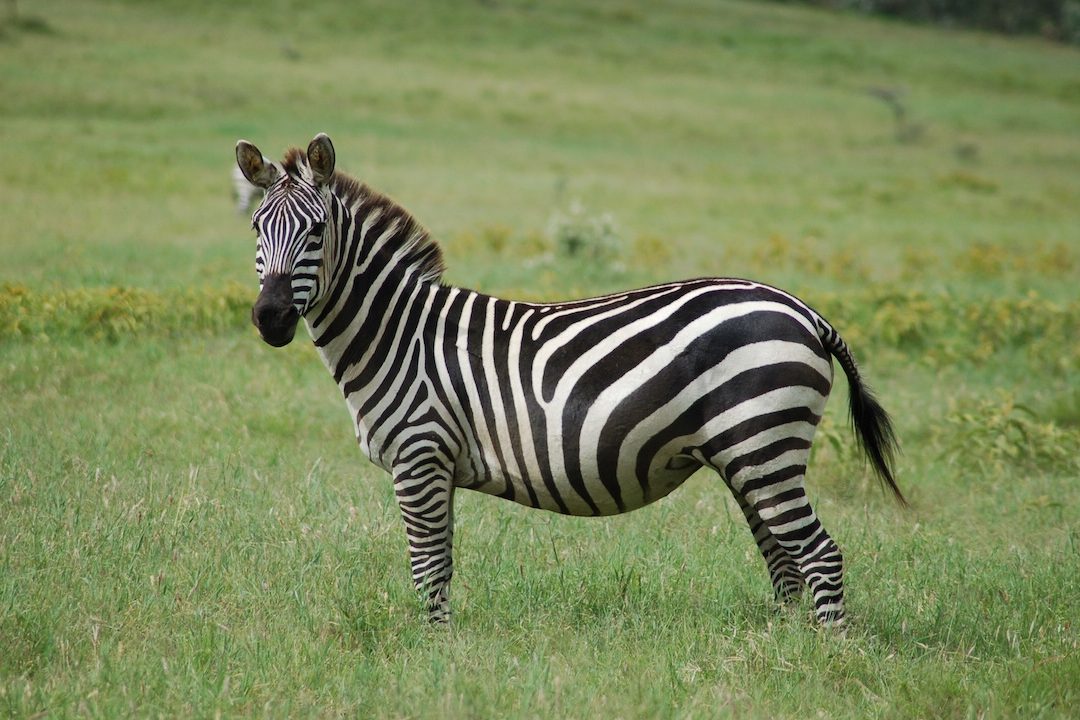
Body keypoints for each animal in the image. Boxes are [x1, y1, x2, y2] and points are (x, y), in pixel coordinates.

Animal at [234, 133, 904, 627]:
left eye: (315, 232)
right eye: (257, 229)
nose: (270, 319)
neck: (399, 333)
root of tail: (805, 310)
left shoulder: (420, 456)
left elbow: (428, 569)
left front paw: (435, 655)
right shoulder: (437, 465)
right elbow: (441, 564)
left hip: (763, 442)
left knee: (819, 554)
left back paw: (826, 656)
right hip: (748, 452)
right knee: (783, 557)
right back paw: (781, 645)